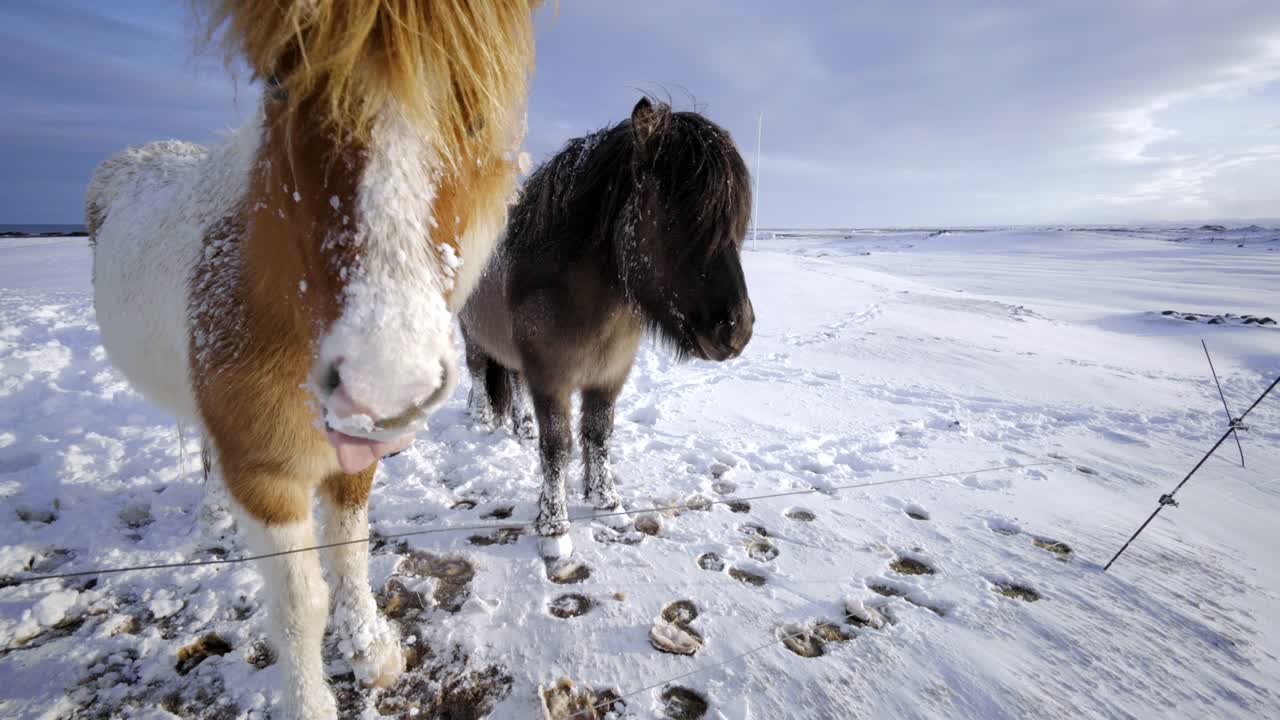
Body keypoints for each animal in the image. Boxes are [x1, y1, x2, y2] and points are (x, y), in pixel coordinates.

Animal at [85, 2, 539, 717]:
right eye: (278, 83)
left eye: (476, 108)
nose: (386, 379)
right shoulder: (264, 476)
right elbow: (301, 604)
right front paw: (313, 697)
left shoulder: (353, 461)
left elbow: (349, 554)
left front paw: (371, 652)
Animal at [459, 98, 755, 559]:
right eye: (677, 216)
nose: (736, 330)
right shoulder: (552, 380)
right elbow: (558, 448)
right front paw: (554, 529)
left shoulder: (609, 376)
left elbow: (599, 437)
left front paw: (609, 506)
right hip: (473, 338)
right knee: (477, 374)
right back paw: (482, 417)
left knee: (512, 382)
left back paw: (521, 427)